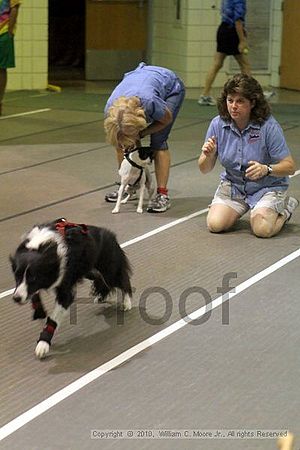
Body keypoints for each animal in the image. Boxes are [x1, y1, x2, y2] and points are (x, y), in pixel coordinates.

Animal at [9, 218, 132, 358]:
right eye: (17, 276)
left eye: (33, 278)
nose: (16, 298)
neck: (44, 249)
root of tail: (111, 235)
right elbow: (35, 296)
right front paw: (39, 312)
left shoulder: (65, 289)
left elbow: (54, 317)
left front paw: (43, 344)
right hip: (89, 270)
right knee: (101, 280)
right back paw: (101, 297)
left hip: (108, 269)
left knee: (122, 280)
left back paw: (127, 303)